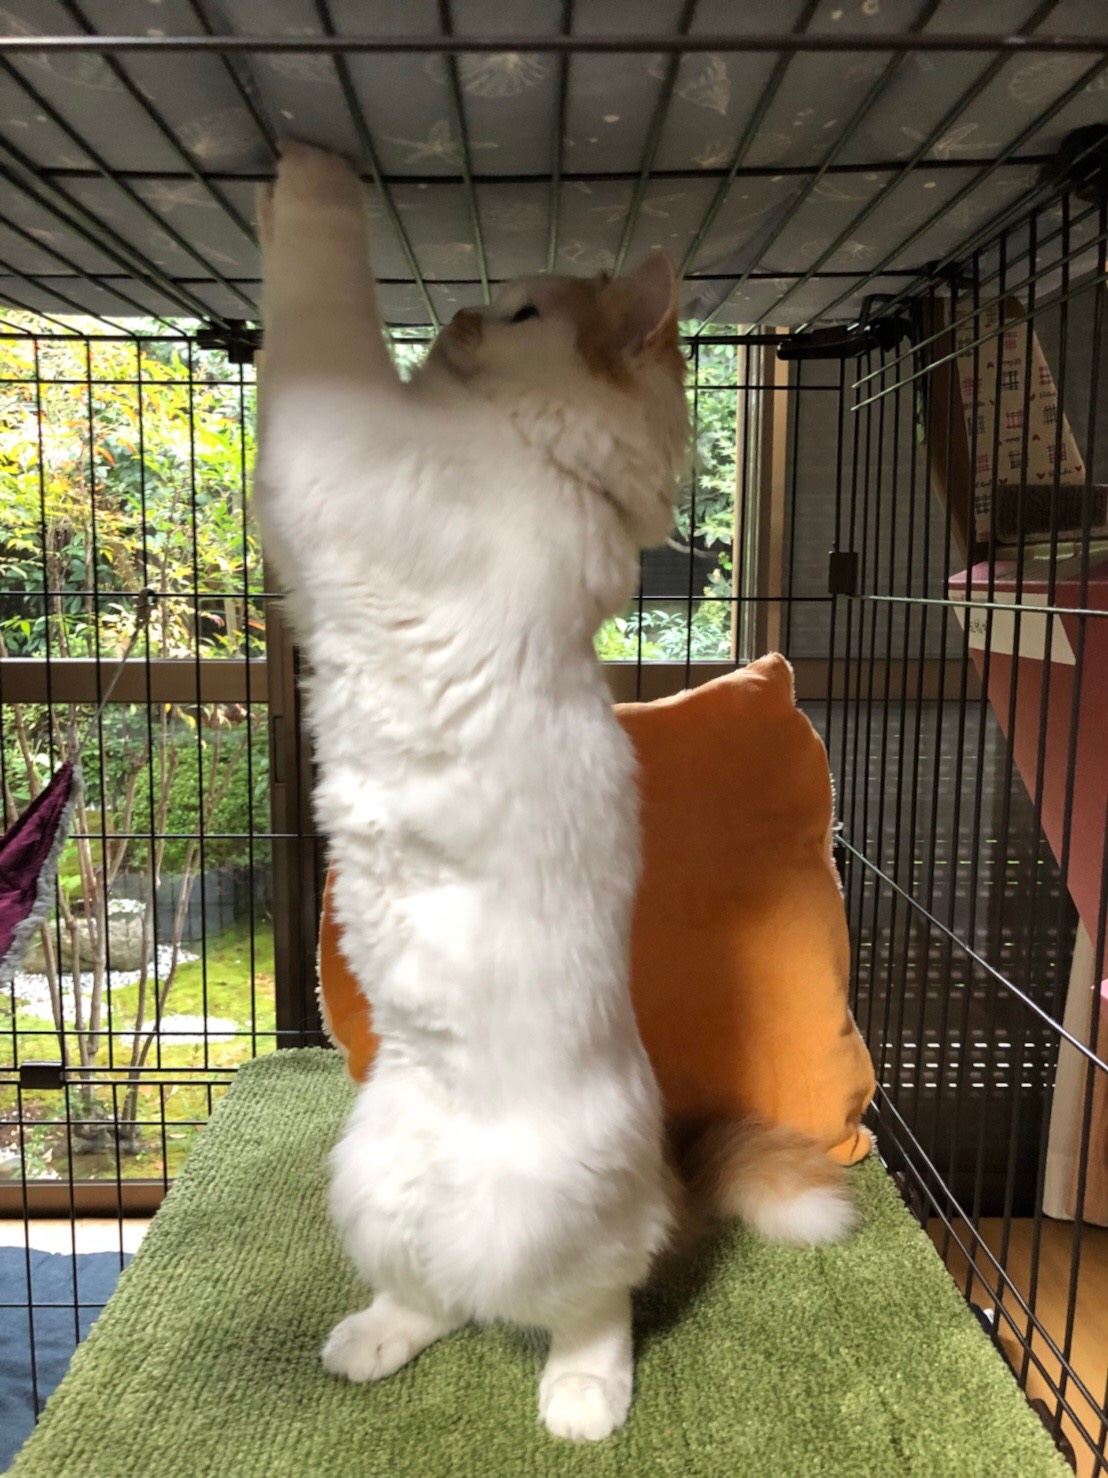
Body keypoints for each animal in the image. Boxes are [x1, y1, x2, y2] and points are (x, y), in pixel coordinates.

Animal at [254, 141, 855, 1445]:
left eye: (526, 311)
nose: (463, 317)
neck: (548, 463)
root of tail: (665, 1172)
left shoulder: (344, 450)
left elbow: (317, 301)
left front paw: (311, 170)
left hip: (553, 1218)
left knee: (591, 1303)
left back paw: (583, 1397)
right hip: (373, 1177)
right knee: (431, 1291)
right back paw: (368, 1340)